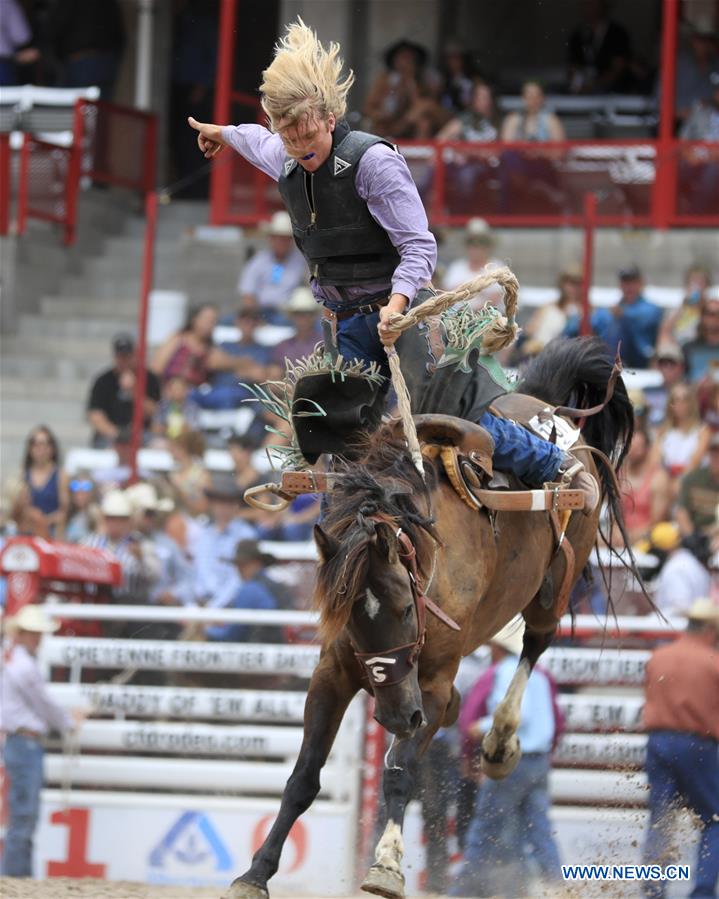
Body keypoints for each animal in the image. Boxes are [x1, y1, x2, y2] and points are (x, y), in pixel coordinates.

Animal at [226, 338, 636, 899]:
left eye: (404, 607)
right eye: (345, 618)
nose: (400, 718)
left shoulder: (433, 683)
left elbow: (399, 771)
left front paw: (386, 866)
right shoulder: (333, 673)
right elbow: (303, 777)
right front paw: (257, 872)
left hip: (552, 592)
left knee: (534, 646)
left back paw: (500, 742)